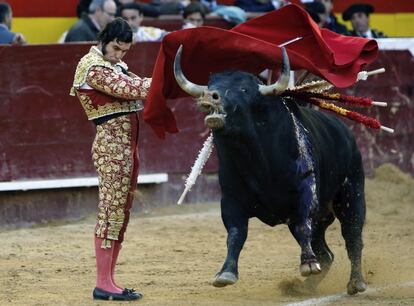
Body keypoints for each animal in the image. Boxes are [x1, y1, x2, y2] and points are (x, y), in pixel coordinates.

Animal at [173, 46, 368, 296]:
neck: (255, 160)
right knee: (326, 254)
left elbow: (304, 224)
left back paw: (356, 282)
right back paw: (303, 288)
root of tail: (346, 133)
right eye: (210, 84)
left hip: (352, 193)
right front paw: (226, 273)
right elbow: (236, 233)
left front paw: (307, 264)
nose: (210, 96)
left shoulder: (305, 192)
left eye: (245, 90)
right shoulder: (231, 200)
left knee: (352, 234)